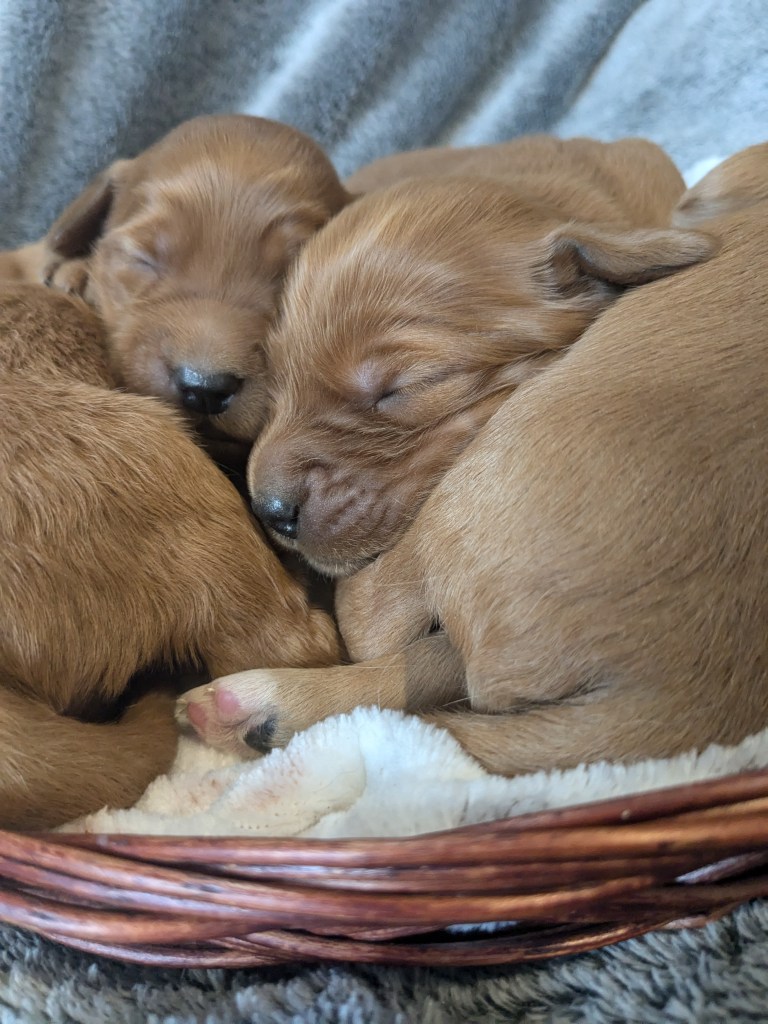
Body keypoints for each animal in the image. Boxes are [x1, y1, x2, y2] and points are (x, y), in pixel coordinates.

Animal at [179, 147, 768, 775]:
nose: (269, 511)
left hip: (455, 503)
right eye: (277, 375)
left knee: (376, 627)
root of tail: (676, 697)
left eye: (403, 389)